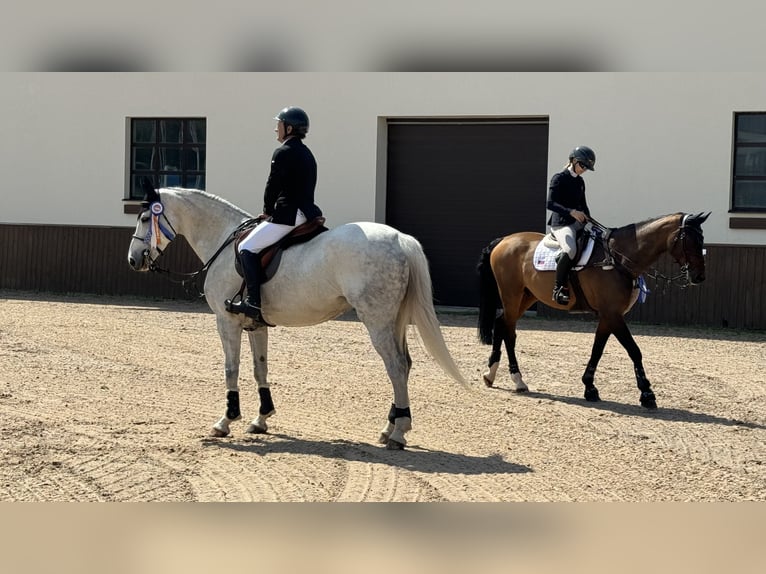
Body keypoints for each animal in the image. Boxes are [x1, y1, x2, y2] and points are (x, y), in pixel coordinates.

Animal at [476, 213, 712, 410]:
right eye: (690, 240)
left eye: (702, 239)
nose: (699, 276)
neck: (618, 258)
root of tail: (504, 240)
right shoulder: (613, 315)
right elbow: (634, 350)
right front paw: (647, 394)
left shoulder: (609, 316)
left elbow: (597, 350)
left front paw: (589, 388)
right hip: (511, 295)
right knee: (508, 331)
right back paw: (517, 379)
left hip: (526, 296)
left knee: (502, 324)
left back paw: (492, 375)